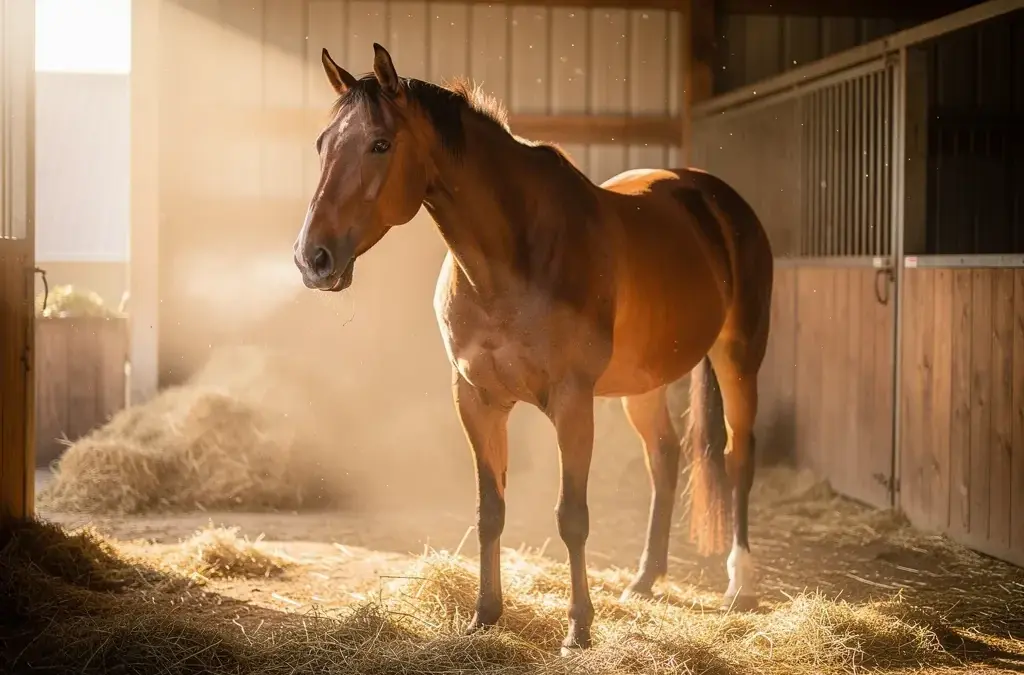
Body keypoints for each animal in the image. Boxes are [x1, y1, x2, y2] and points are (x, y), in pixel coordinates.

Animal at [292, 43, 774, 654]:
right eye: (322, 143)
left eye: (380, 143)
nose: (312, 258)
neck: (510, 260)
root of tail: (714, 196)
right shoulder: (475, 399)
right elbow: (490, 510)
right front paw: (484, 615)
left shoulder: (571, 401)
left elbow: (572, 517)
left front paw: (579, 628)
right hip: (644, 381)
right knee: (664, 459)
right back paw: (644, 580)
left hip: (739, 356)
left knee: (738, 457)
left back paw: (740, 586)